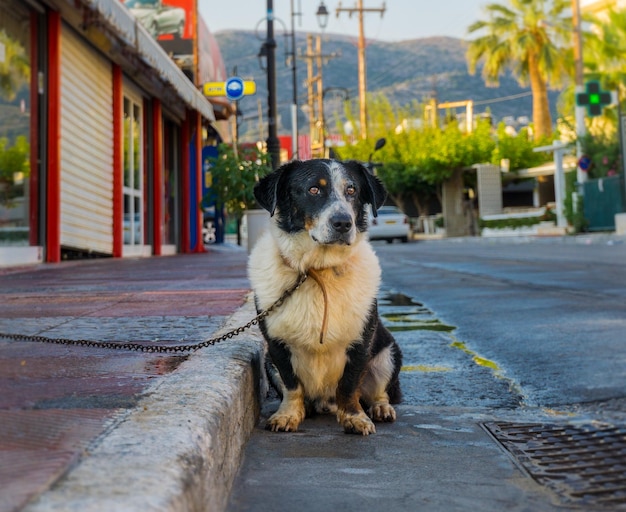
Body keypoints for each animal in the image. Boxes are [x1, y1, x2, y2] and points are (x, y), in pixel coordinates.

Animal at [247, 158, 400, 434]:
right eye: (313, 189)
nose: (343, 223)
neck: (317, 270)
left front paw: (354, 417)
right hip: (267, 362)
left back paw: (380, 408)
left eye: (352, 190)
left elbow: (349, 385)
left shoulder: (361, 340)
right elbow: (291, 384)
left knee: (378, 391)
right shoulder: (276, 345)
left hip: (388, 353)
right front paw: (288, 415)